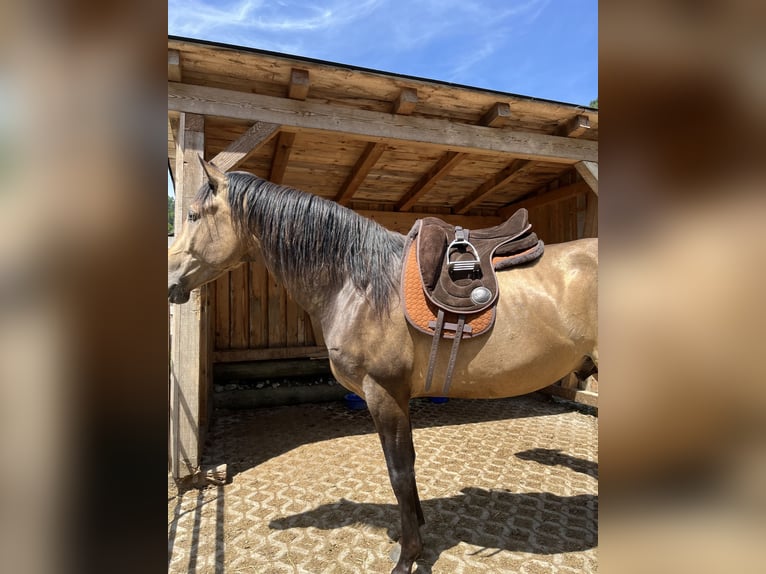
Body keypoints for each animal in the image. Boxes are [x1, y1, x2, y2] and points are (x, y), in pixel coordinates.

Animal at [168, 160, 600, 574]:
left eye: (192, 215)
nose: (170, 281)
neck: (357, 284)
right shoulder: (395, 396)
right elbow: (407, 467)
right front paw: (417, 528)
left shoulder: (384, 392)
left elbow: (399, 470)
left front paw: (409, 555)